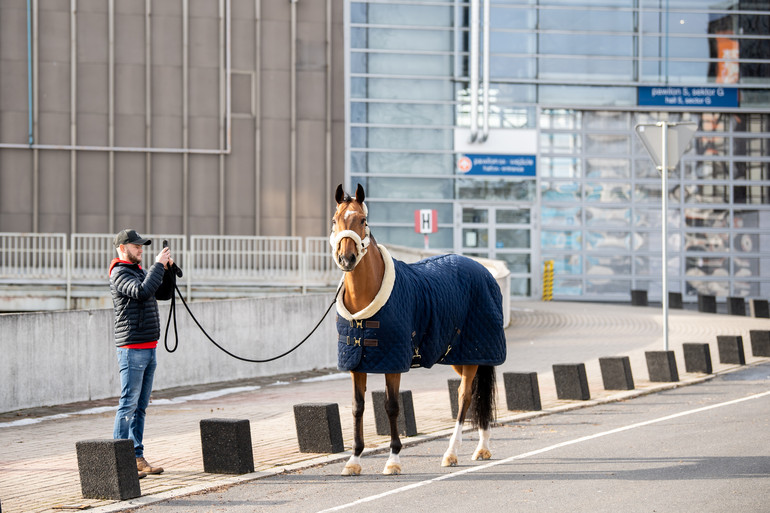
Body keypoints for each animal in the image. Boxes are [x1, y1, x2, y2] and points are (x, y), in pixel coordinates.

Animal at [328, 182, 504, 474]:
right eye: (334, 221)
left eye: (362, 220)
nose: (346, 259)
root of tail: (482, 270)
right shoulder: (357, 363)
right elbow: (357, 407)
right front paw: (353, 461)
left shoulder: (394, 363)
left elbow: (391, 406)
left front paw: (393, 460)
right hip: (459, 355)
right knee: (474, 393)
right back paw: (483, 446)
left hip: (474, 353)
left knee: (465, 396)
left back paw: (453, 452)